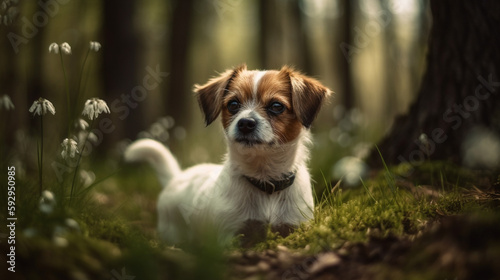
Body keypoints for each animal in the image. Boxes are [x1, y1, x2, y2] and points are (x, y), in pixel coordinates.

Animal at [124, 64, 330, 246]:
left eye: (277, 106)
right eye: (233, 104)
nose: (245, 123)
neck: (264, 180)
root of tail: (177, 177)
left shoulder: (295, 226)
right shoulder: (231, 235)